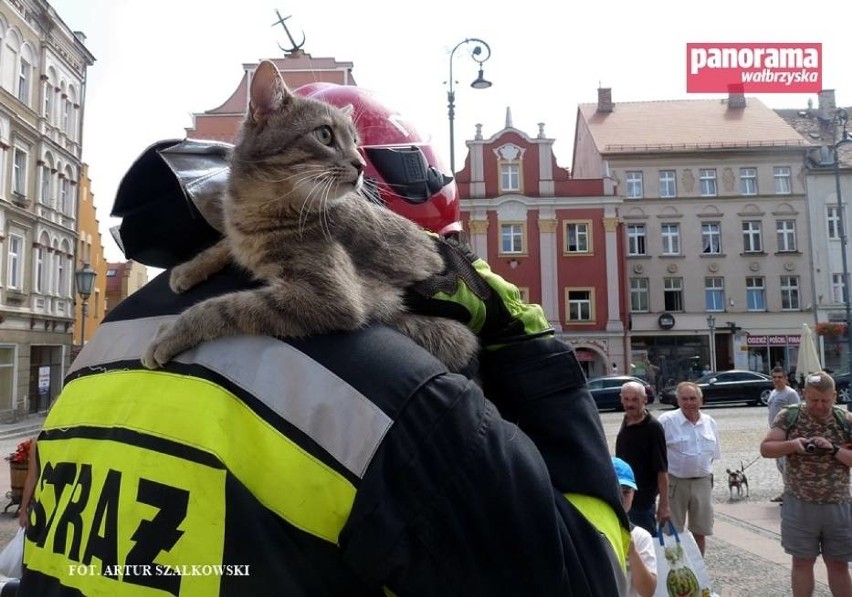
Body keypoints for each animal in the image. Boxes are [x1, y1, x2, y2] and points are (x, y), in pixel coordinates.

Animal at [140, 58, 480, 370]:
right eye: (325, 135)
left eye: (356, 142)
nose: (360, 164)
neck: (257, 207)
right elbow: (227, 244)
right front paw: (190, 267)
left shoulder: (330, 298)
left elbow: (223, 307)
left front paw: (171, 333)